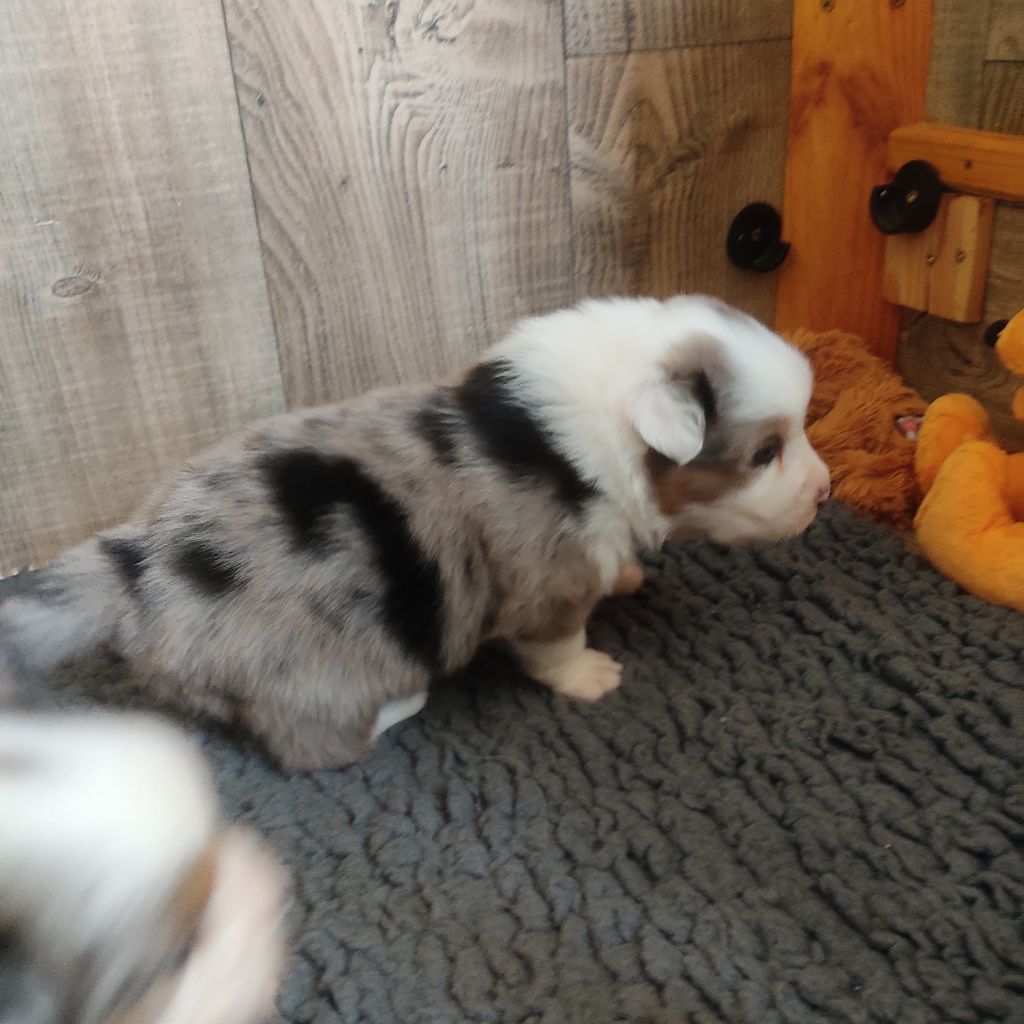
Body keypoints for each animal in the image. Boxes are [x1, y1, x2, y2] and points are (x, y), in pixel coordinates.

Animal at [0, 295, 830, 772]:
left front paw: (626, 574)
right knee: (313, 747)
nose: (825, 492)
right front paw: (591, 675)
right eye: (764, 453)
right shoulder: (548, 581)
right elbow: (558, 641)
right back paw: (403, 705)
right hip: (312, 674)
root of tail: (137, 562)